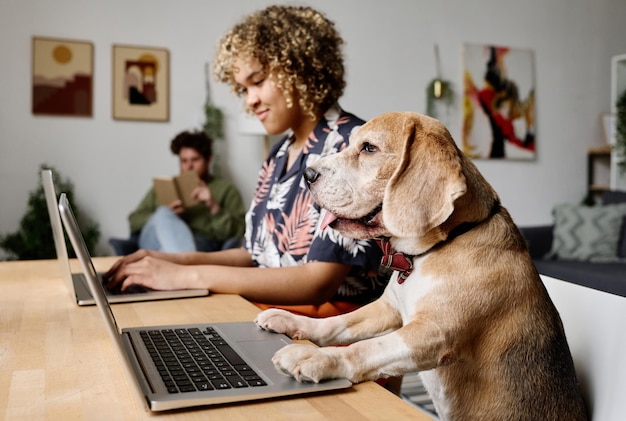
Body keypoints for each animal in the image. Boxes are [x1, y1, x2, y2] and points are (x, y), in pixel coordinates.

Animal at [254, 110, 584, 418]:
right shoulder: (386, 309)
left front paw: (319, 358)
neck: (436, 248)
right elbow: (337, 323)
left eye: (369, 148)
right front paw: (293, 322)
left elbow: (366, 348)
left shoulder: (433, 334)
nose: (307, 174)